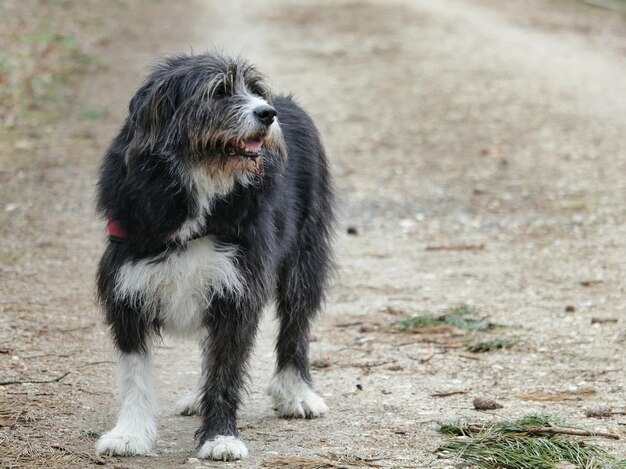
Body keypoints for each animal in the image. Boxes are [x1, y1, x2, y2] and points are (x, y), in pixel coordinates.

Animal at [93, 53, 334, 458]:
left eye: (255, 90)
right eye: (219, 91)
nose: (268, 113)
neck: (202, 182)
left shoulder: (237, 291)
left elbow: (225, 372)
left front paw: (220, 437)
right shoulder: (127, 290)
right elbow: (134, 374)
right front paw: (129, 434)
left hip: (305, 260)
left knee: (295, 325)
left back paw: (296, 393)